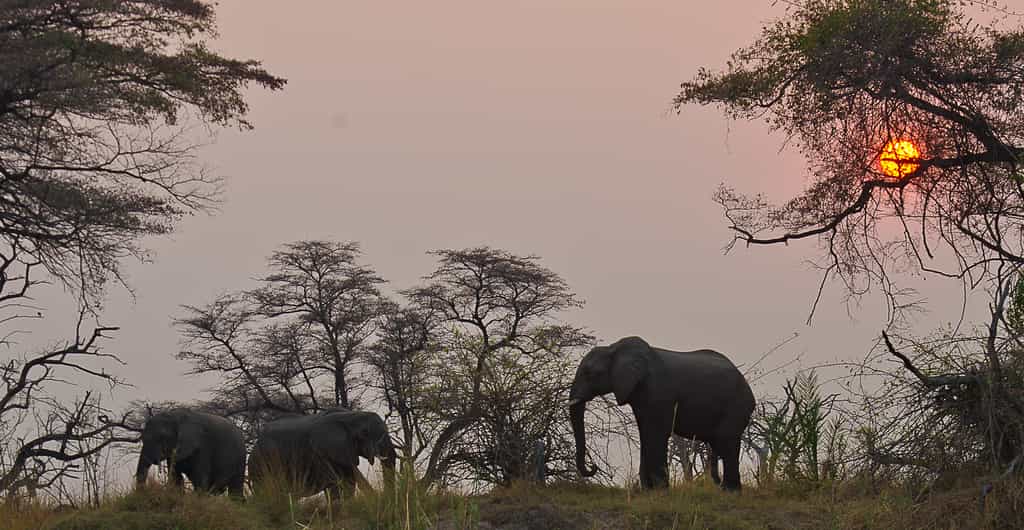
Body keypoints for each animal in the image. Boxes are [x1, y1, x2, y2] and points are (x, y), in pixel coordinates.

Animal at [248, 409, 397, 499]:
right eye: (365, 434)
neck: (351, 416)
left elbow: (349, 481)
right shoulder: (318, 452)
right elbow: (334, 482)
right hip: (260, 464)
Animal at [568, 336, 755, 490]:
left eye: (590, 373)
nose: (593, 466)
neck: (614, 349)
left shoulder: (659, 391)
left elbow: (656, 433)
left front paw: (660, 490)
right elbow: (645, 433)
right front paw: (647, 490)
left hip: (737, 405)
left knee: (727, 441)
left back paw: (730, 491)